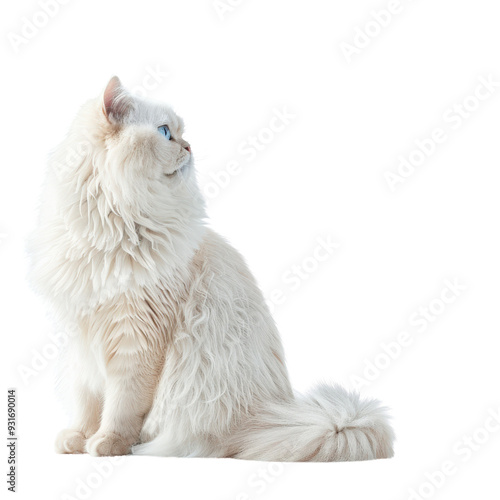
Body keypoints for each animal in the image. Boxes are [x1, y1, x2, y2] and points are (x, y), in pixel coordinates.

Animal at [29, 77, 394, 460]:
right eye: (165, 132)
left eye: (178, 132)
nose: (189, 146)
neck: (109, 228)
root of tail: (268, 421)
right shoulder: (80, 339)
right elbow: (87, 402)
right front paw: (77, 438)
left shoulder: (137, 340)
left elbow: (120, 406)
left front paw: (107, 443)